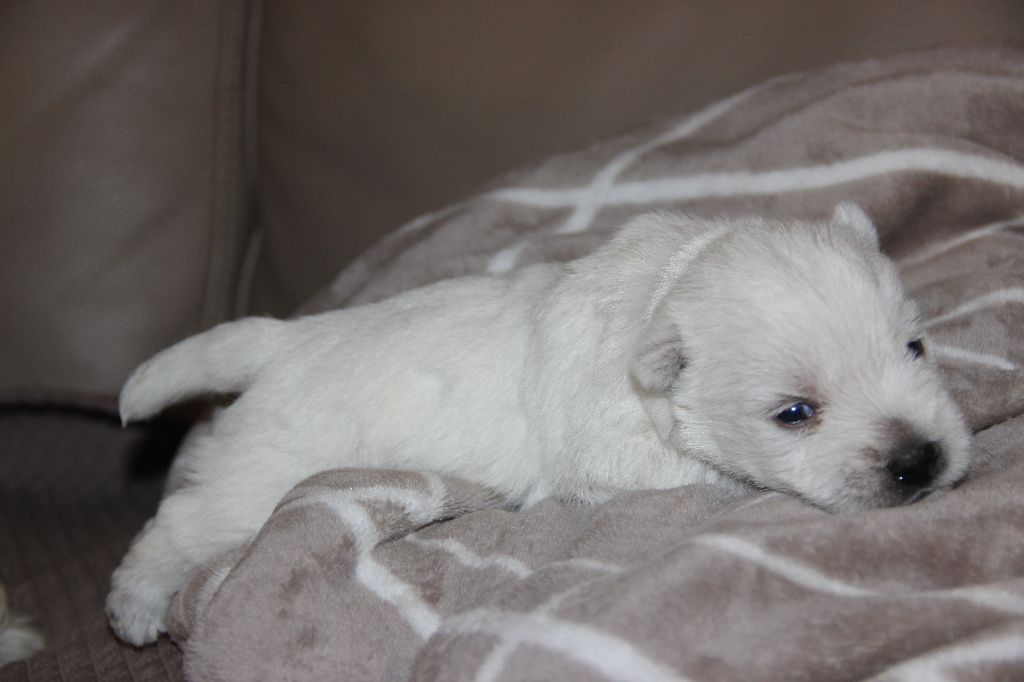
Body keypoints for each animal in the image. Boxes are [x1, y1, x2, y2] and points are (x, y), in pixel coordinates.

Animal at [107, 204, 972, 645]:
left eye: (915, 347)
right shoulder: (615, 454)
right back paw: (135, 606)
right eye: (794, 413)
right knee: (179, 523)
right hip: (258, 480)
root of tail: (277, 342)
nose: (920, 461)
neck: (665, 293)